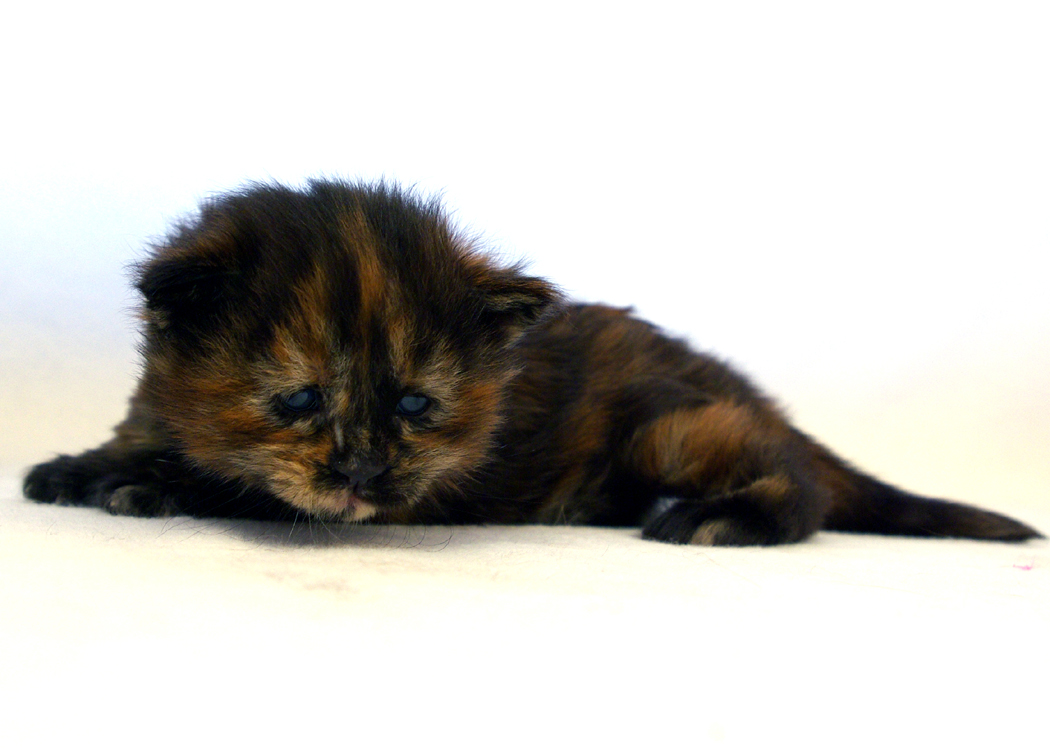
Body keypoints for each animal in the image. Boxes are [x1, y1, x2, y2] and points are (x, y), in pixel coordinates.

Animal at [23, 179, 1041, 545]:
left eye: (416, 407)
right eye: (301, 397)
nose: (363, 471)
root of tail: (749, 394)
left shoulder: (413, 494)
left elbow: (237, 484)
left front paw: (144, 486)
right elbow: (140, 438)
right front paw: (75, 467)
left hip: (676, 429)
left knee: (806, 489)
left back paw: (714, 519)